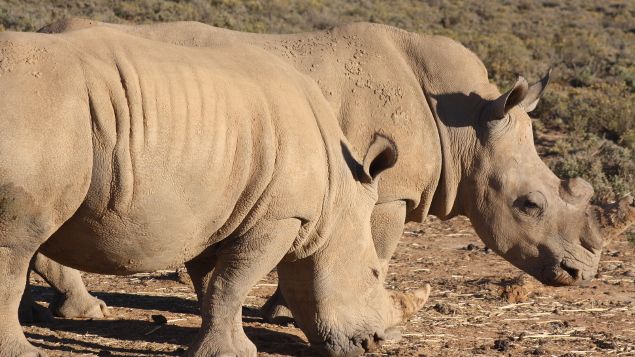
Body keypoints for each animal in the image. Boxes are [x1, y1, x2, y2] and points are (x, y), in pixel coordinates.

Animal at [0, 26, 432, 354]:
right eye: (373, 274)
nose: (374, 342)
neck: (336, 200)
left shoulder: (216, 215)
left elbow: (215, 285)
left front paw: (219, 347)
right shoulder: (282, 216)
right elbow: (234, 282)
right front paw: (233, 352)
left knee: (32, 239)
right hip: (46, 114)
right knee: (18, 244)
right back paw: (27, 350)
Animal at [29, 18, 608, 322]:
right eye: (530, 205)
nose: (581, 274)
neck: (465, 129)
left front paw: (280, 309)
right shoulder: (387, 189)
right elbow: (377, 251)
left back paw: (78, 309)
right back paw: (87, 310)